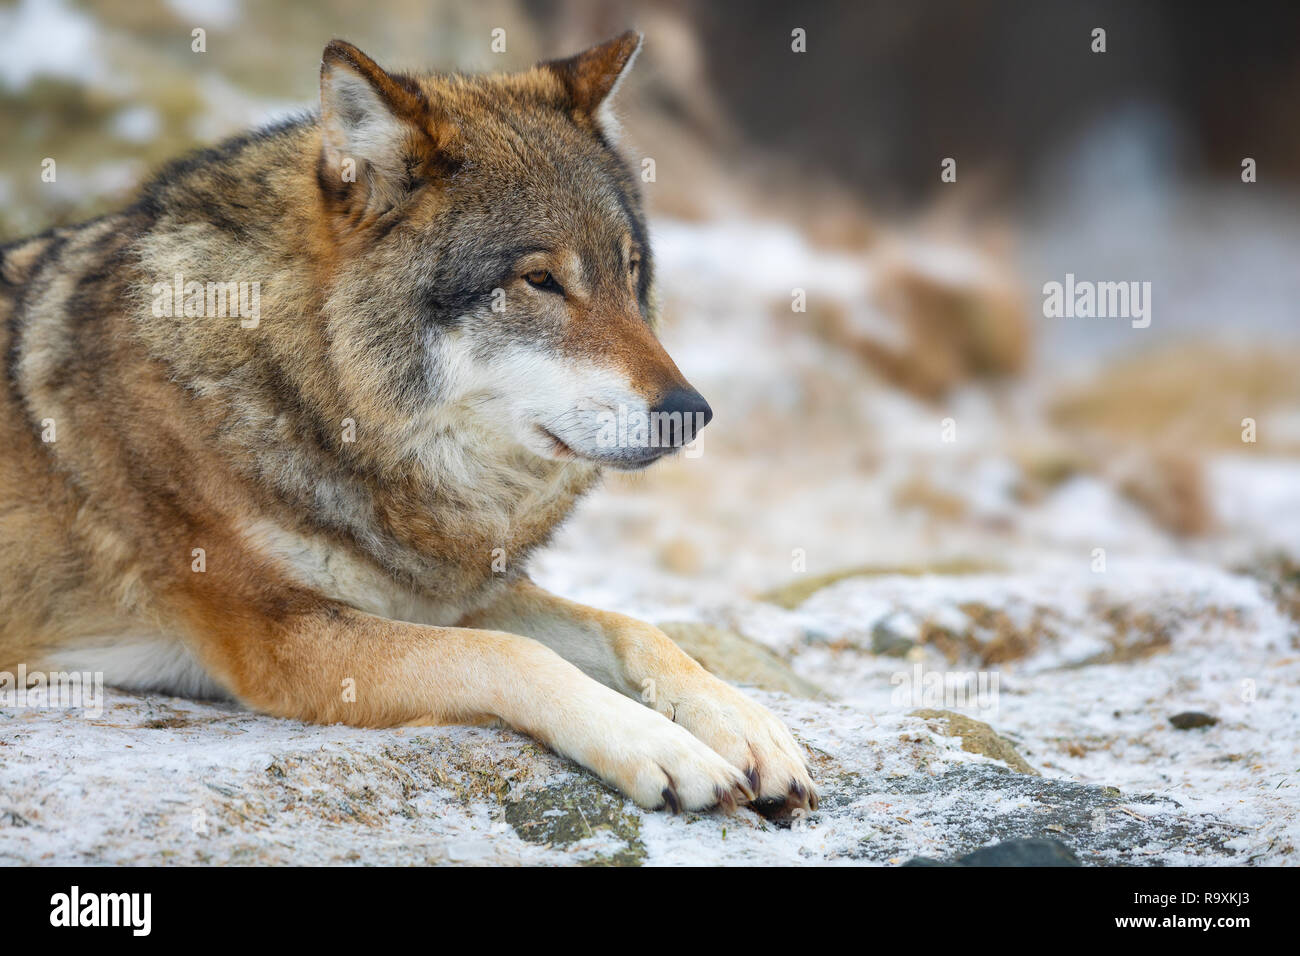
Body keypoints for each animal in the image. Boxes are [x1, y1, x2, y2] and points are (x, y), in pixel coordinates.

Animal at [0, 33, 811, 816]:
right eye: (540, 280)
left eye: (631, 271)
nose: (692, 413)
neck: (309, 389)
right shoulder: (282, 637)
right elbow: (508, 655)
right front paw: (663, 748)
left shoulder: (452, 598)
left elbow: (633, 627)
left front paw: (744, 725)